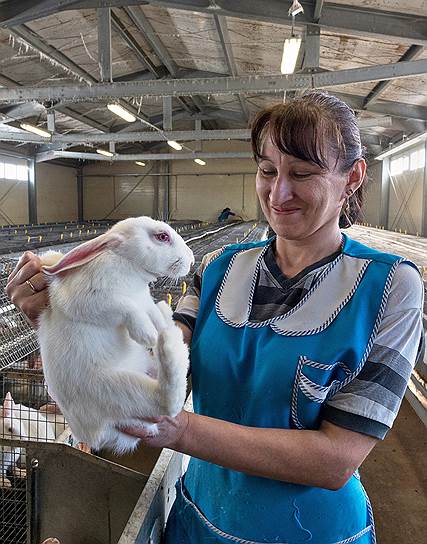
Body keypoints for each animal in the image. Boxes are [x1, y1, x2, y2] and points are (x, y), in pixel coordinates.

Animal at [36, 217, 194, 454]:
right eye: (162, 236)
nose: (192, 260)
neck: (128, 266)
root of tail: (95, 436)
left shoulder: (144, 300)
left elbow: (150, 310)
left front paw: (158, 323)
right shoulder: (92, 300)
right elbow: (126, 307)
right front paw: (147, 335)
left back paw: (166, 320)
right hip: (114, 389)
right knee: (166, 401)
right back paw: (167, 342)